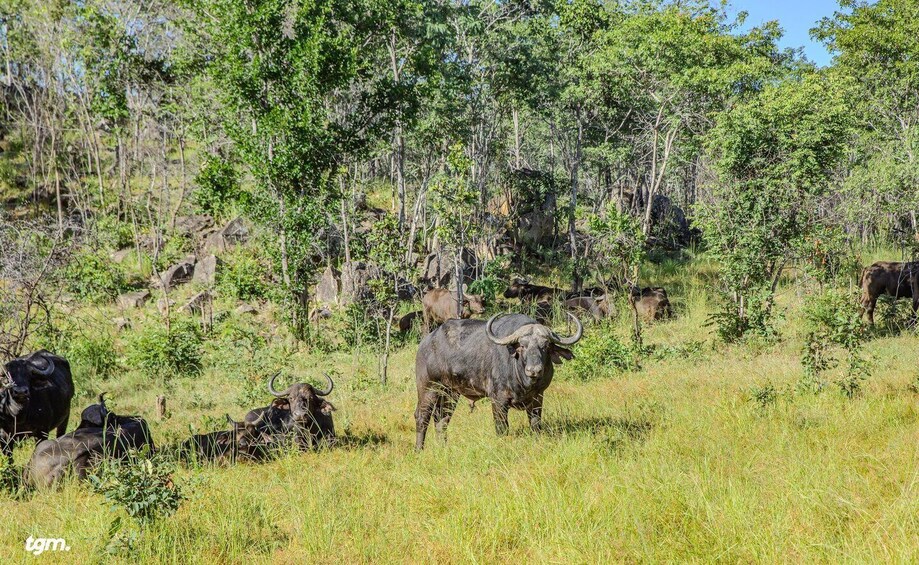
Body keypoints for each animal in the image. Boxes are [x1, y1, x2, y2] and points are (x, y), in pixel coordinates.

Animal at [414, 312, 582, 450]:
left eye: (545, 346)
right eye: (522, 346)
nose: (534, 370)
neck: (523, 381)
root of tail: (425, 343)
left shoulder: (537, 398)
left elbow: (535, 424)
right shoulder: (498, 400)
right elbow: (502, 428)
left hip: (450, 393)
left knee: (442, 419)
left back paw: (443, 447)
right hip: (429, 388)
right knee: (422, 417)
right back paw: (419, 450)